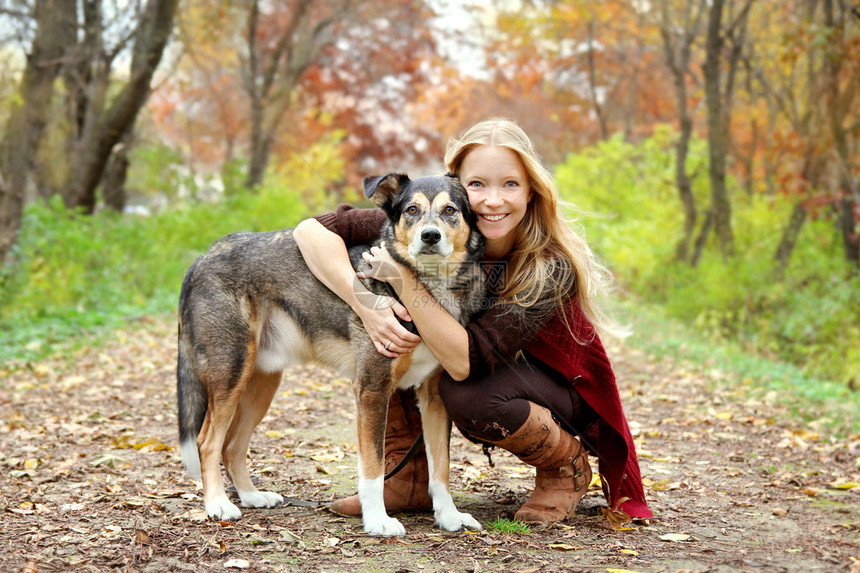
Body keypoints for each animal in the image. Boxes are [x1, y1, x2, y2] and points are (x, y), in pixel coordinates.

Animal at [176, 173, 484, 536]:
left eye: (450, 210)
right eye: (412, 209)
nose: (430, 236)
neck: (425, 293)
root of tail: (204, 257)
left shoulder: (434, 397)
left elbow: (441, 468)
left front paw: (449, 516)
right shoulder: (372, 390)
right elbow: (373, 469)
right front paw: (377, 521)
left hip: (260, 383)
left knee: (232, 444)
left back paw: (251, 496)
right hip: (232, 372)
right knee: (208, 441)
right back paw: (217, 504)